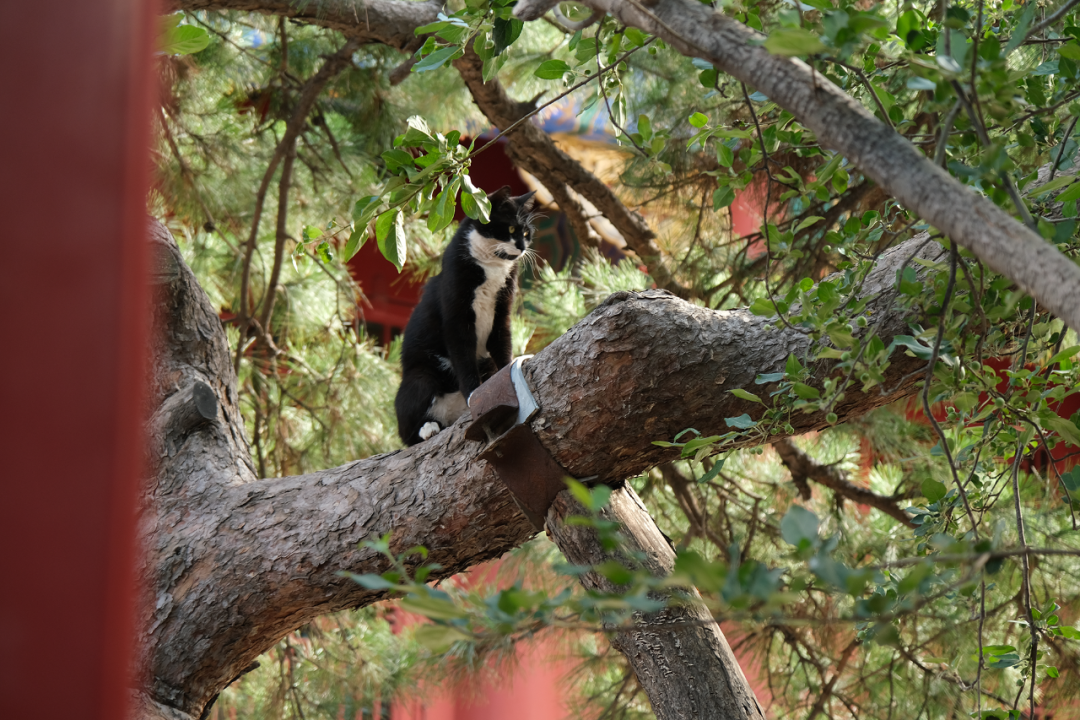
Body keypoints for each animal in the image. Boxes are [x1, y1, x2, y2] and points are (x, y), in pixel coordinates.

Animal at [393, 185, 535, 444]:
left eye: (527, 232)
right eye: (511, 228)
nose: (522, 247)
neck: (492, 267)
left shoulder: (501, 314)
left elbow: (503, 347)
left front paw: (504, 378)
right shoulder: (457, 320)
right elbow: (464, 357)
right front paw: (473, 394)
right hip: (420, 378)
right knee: (407, 432)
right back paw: (428, 428)